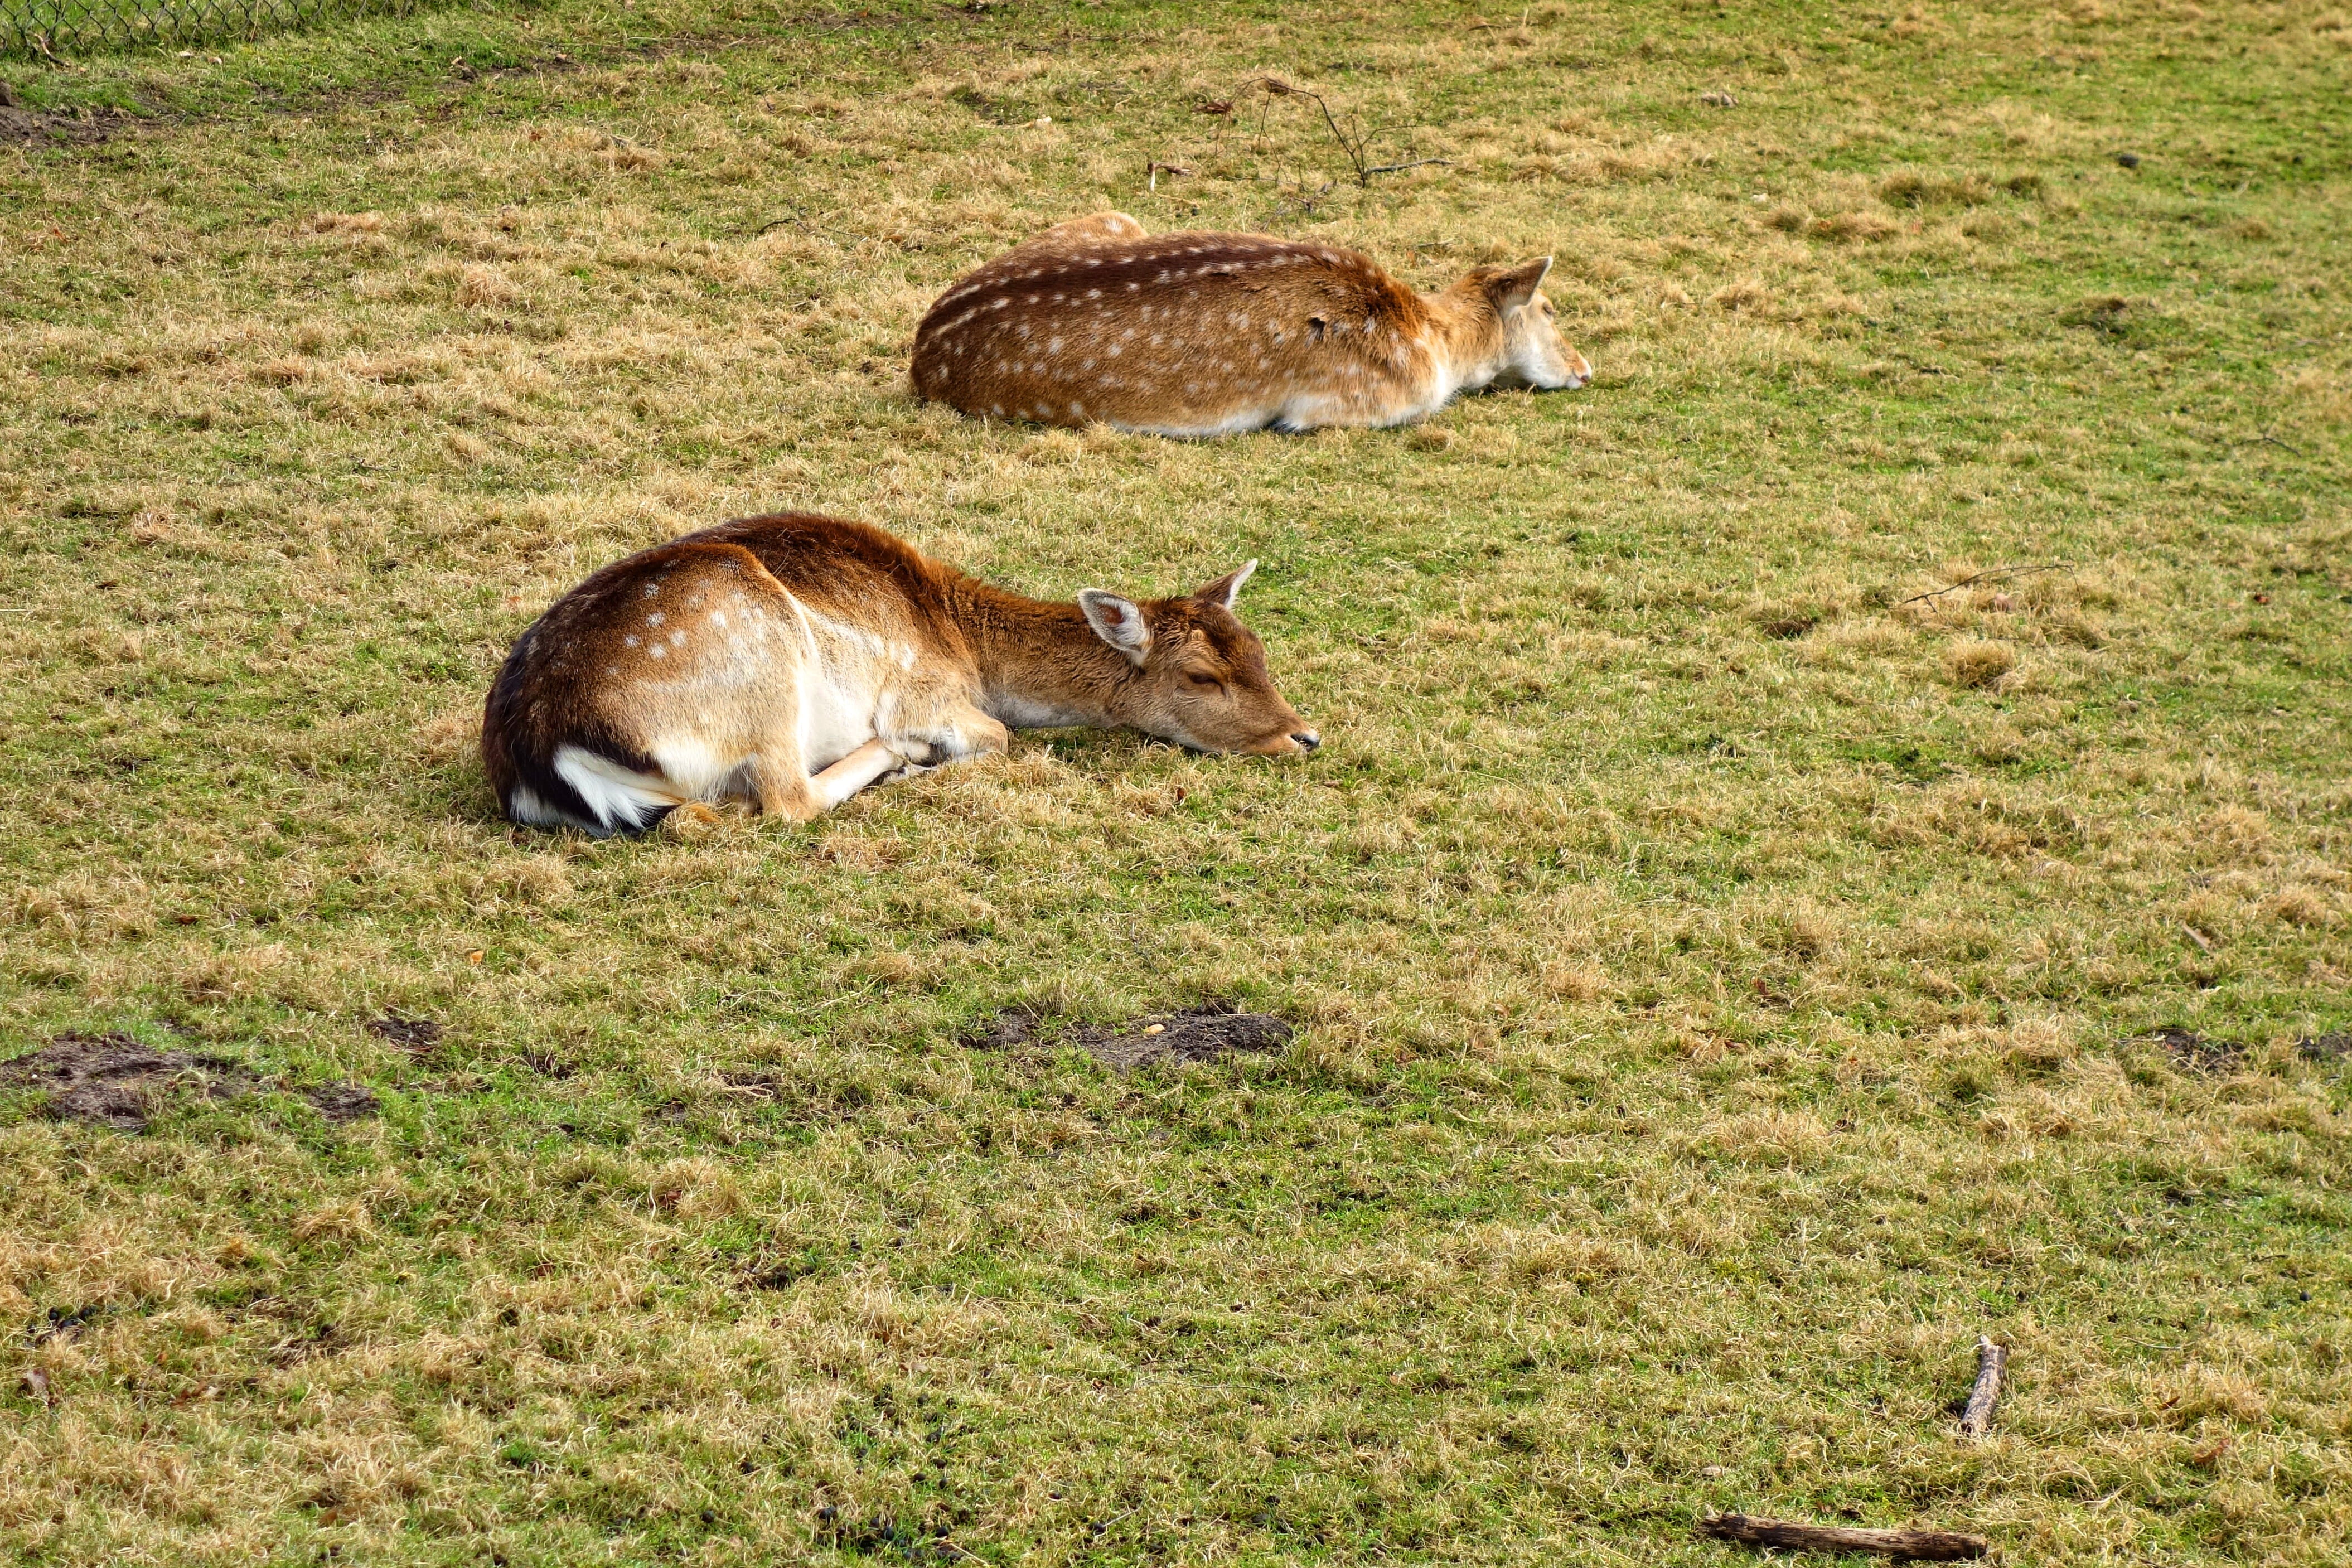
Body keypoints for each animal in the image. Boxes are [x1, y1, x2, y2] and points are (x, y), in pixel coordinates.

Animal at [481, 513, 1319, 835]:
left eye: (1259, 651)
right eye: (1202, 677)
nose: (1303, 737)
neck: (965, 645)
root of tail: (538, 748)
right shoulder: (928, 694)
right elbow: (997, 737)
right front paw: (921, 756)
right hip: (761, 669)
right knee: (783, 801)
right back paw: (892, 759)